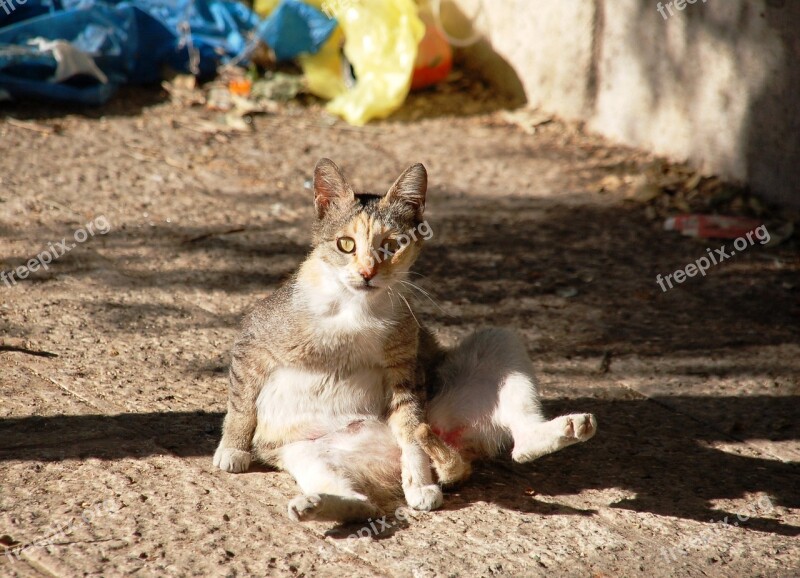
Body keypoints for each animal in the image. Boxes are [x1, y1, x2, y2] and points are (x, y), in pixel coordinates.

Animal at [216, 158, 596, 520]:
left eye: (392, 245)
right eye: (345, 244)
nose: (367, 272)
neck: (355, 311)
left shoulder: (405, 370)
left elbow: (412, 431)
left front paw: (420, 485)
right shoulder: (253, 339)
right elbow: (241, 405)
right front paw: (232, 449)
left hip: (497, 342)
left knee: (515, 443)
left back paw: (563, 431)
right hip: (307, 454)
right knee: (361, 503)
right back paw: (316, 505)